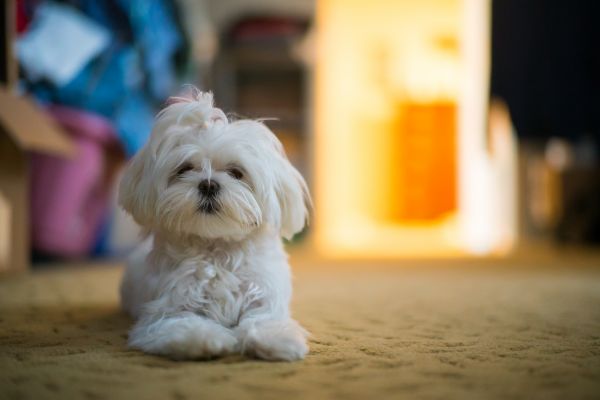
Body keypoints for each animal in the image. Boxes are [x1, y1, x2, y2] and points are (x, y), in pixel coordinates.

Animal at [120, 88, 312, 362]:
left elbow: (264, 319)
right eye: (185, 169)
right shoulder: (167, 308)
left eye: (236, 172)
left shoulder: (263, 294)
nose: (208, 185)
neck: (217, 246)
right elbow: (184, 323)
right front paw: (207, 340)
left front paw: (276, 339)